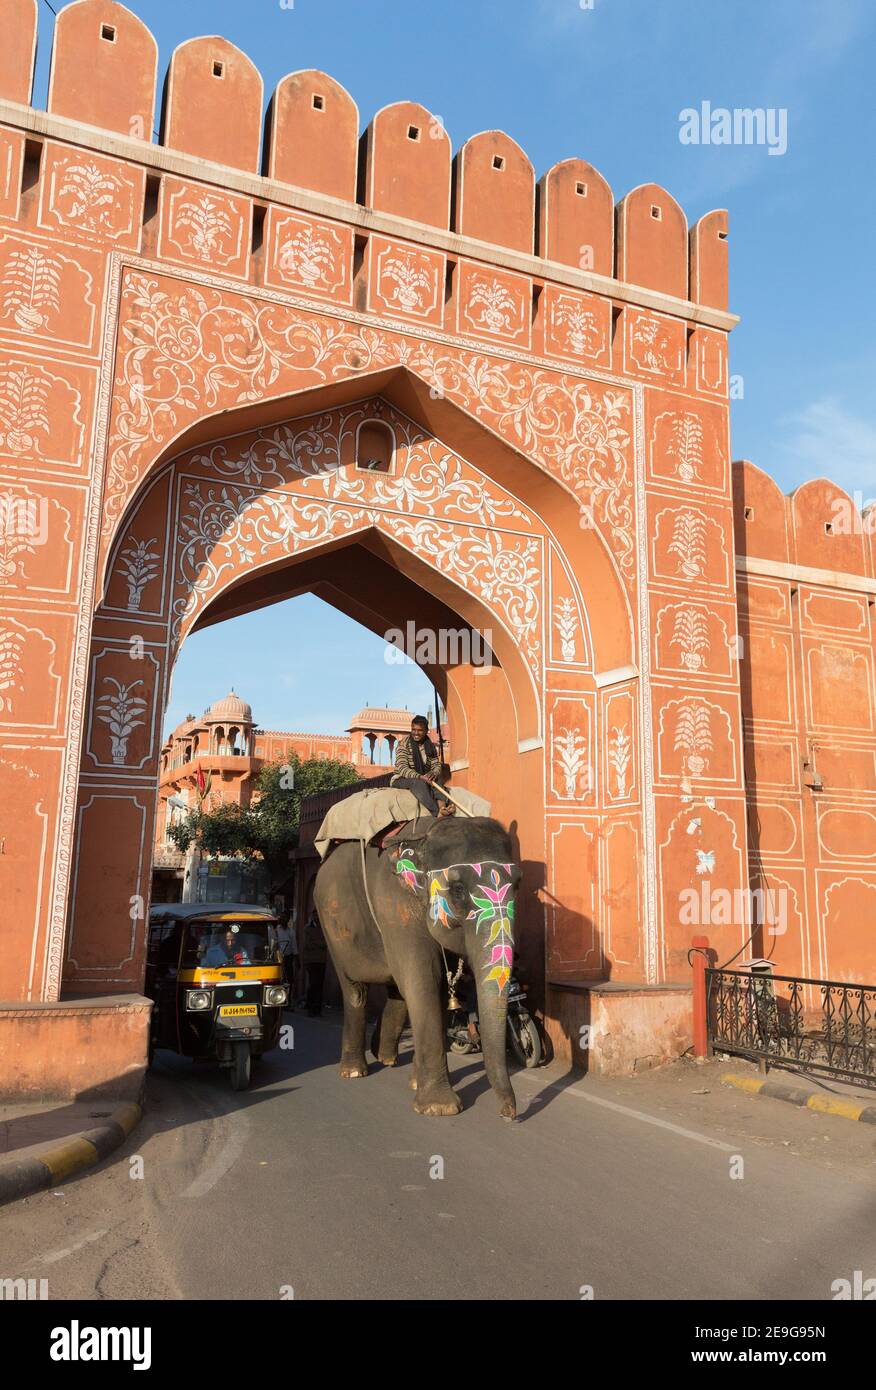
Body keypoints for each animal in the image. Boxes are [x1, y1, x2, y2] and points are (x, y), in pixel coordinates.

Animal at [313, 814, 522, 1119]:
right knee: (355, 991)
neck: (428, 835)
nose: (509, 1113)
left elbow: (434, 984)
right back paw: (353, 1071)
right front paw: (440, 1107)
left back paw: (385, 1056)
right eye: (458, 889)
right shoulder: (394, 904)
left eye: (518, 884)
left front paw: (416, 1085)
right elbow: (424, 977)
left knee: (396, 989)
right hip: (331, 928)